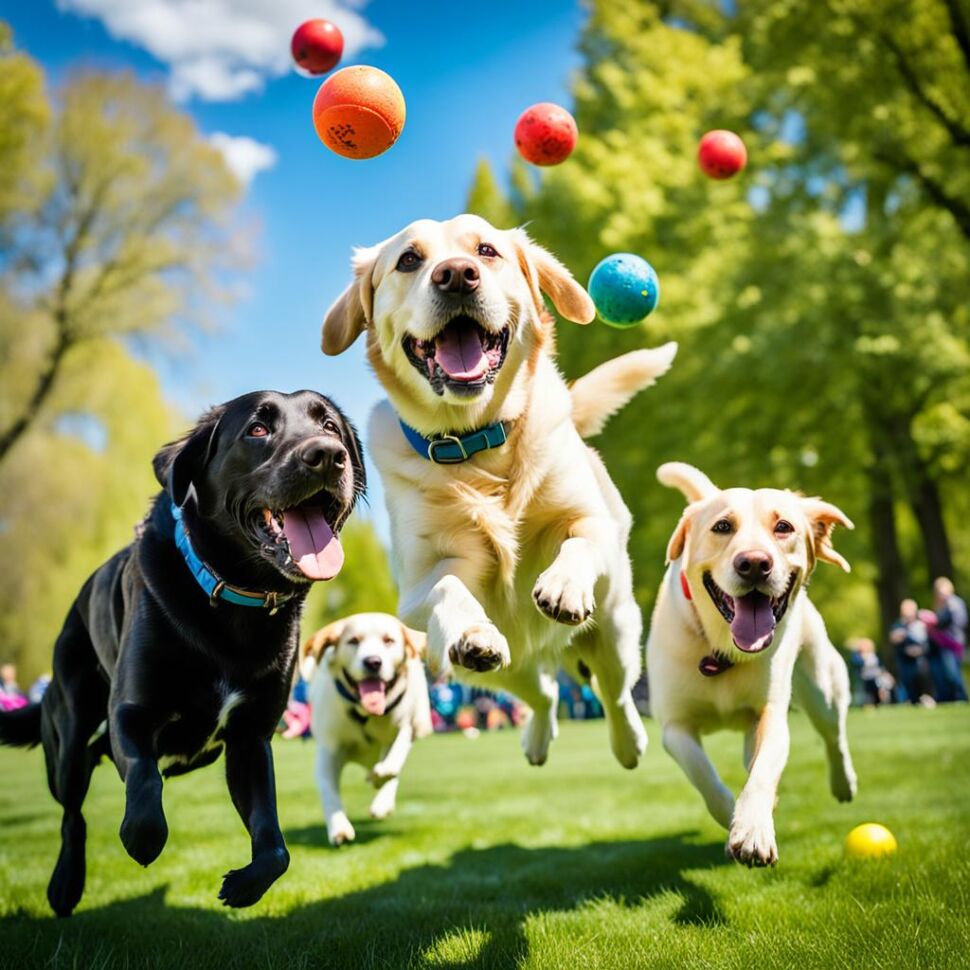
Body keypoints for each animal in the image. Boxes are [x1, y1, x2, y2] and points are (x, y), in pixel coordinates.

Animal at [298, 612, 428, 848]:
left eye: (389, 640)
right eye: (353, 641)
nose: (373, 662)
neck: (366, 713)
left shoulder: (406, 725)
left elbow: (393, 763)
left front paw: (380, 778)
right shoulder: (329, 749)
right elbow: (327, 789)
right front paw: (338, 827)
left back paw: (382, 797)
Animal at [322, 216, 668, 768]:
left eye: (486, 251)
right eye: (408, 260)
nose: (456, 275)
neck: (477, 444)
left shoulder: (592, 523)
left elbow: (580, 539)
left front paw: (563, 583)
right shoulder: (416, 588)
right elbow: (449, 586)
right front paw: (472, 631)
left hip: (614, 626)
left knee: (615, 691)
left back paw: (628, 742)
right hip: (491, 671)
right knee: (542, 693)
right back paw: (535, 736)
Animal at [644, 466, 856, 864]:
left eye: (784, 526)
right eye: (722, 526)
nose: (755, 563)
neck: (723, 650)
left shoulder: (770, 713)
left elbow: (763, 773)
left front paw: (753, 829)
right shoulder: (675, 727)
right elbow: (705, 777)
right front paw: (733, 820)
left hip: (821, 685)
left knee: (833, 734)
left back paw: (843, 783)